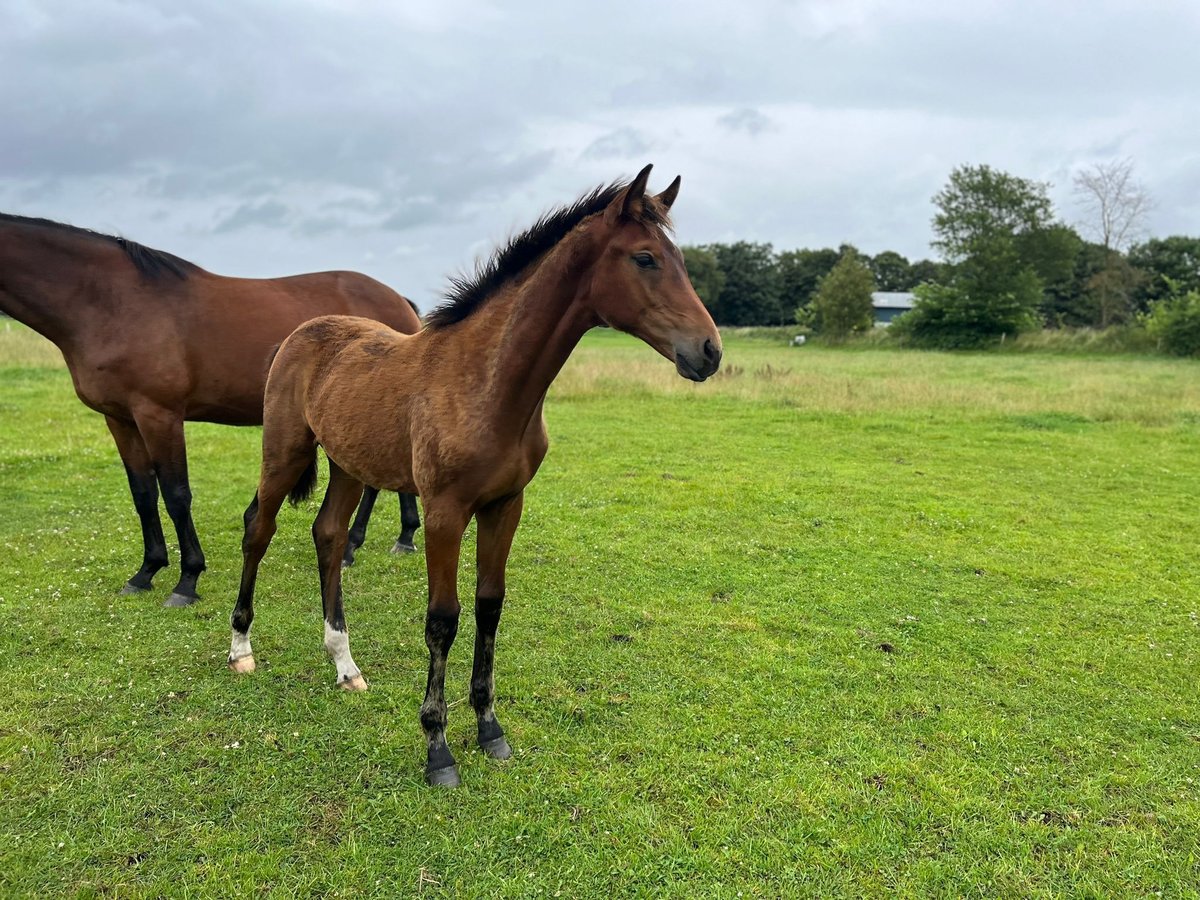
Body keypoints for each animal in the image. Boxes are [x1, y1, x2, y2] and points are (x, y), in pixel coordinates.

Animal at [0, 213, 422, 607]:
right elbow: (143, 494)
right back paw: (380, 540)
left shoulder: (159, 415)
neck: (112, 302)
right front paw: (145, 572)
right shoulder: (120, 419)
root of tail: (399, 299)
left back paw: (377, 541)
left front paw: (186, 580)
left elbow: (176, 495)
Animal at [225, 164, 720, 787]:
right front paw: (437, 747)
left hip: (348, 465)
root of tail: (302, 332)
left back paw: (344, 663)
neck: (488, 383)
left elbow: (489, 606)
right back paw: (240, 648)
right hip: (284, 451)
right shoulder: (443, 511)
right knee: (258, 529)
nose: (709, 351)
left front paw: (489, 727)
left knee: (329, 535)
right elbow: (443, 619)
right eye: (646, 258)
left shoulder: (506, 505)